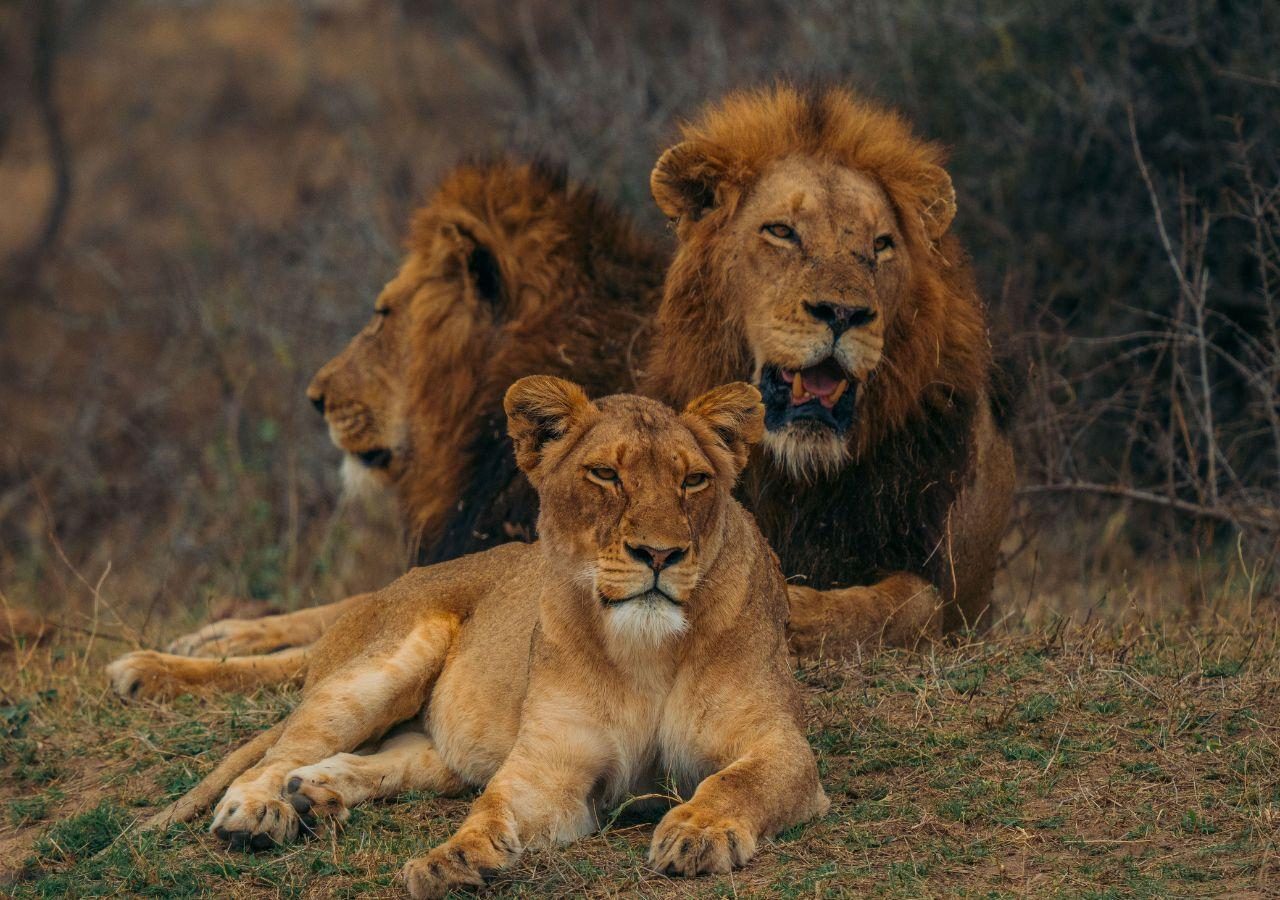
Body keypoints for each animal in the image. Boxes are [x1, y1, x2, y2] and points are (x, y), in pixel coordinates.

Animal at [110, 377, 828, 897]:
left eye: (693, 479)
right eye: (605, 475)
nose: (660, 553)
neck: (645, 652)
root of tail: (390, 590)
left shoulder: (779, 744)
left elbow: (738, 783)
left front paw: (697, 833)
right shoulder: (549, 766)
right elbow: (494, 807)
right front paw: (448, 860)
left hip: (440, 745)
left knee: (382, 758)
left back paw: (315, 793)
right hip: (388, 662)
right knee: (278, 752)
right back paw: (261, 810)